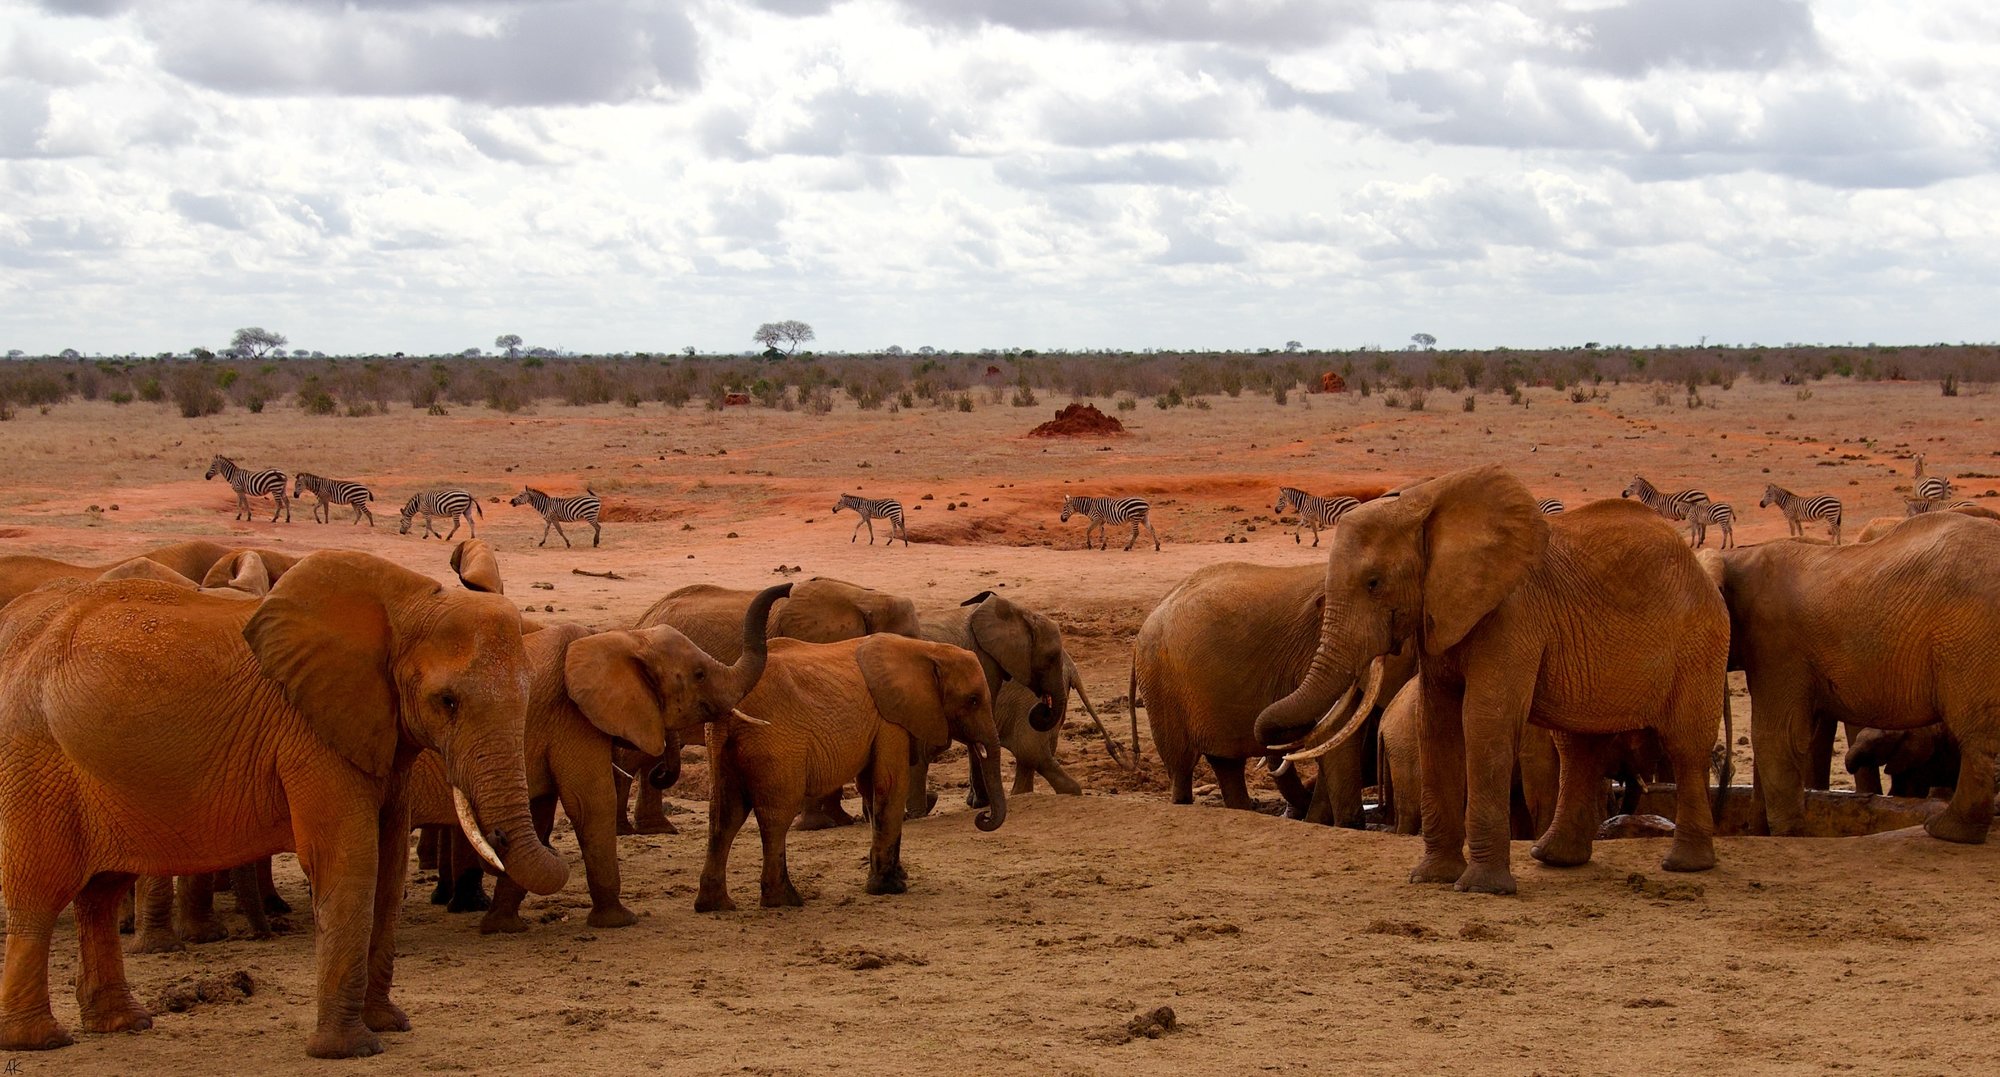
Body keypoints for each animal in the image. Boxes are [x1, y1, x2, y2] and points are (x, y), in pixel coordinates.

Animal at [0, 549, 568, 1057]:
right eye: (447, 701)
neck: (406, 604)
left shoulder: (379, 733)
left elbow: (387, 870)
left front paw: (389, 1024)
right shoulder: (310, 734)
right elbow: (350, 863)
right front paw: (350, 1050)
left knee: (99, 893)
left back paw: (123, 1023)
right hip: (34, 755)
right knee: (39, 894)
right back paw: (39, 1040)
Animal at [625, 577, 923, 832]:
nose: (912, 815)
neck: (867, 598)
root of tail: (644, 618)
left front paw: (841, 821)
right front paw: (820, 825)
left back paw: (651, 828)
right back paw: (644, 829)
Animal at [695, 636, 1003, 912]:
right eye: (973, 700)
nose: (982, 817)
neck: (928, 650)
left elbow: (870, 791)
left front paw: (896, 876)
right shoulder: (891, 720)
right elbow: (890, 786)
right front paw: (890, 888)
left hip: (723, 748)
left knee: (724, 816)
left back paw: (715, 906)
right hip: (776, 744)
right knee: (775, 816)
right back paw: (785, 901)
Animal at [1254, 469, 1730, 895]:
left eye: (1374, 583)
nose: (1272, 744)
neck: (1423, 503)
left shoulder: (1512, 613)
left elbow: (1484, 721)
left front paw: (1481, 888)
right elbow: (1438, 722)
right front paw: (1431, 879)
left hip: (1700, 643)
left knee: (1685, 745)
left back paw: (1685, 866)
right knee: (1578, 747)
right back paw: (1554, 859)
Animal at [1714, 512, 2000, 841]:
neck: (1736, 558)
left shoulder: (1775, 642)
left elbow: (1776, 734)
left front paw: (1788, 834)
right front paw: (1759, 832)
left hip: (1968, 639)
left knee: (1976, 737)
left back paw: (1946, 831)